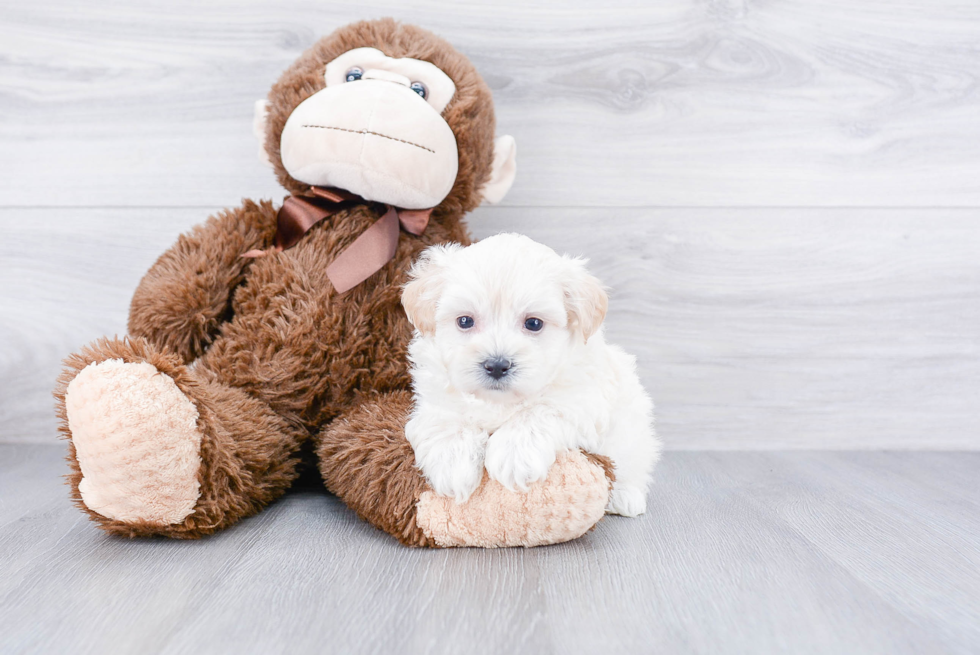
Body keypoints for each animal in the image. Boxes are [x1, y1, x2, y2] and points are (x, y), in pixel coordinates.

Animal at [402, 234, 664, 516]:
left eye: (534, 323)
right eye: (465, 321)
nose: (497, 365)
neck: (500, 401)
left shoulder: (583, 401)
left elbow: (538, 411)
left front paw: (514, 455)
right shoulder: (435, 399)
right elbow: (448, 420)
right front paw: (453, 465)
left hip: (633, 428)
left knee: (632, 462)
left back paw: (625, 495)